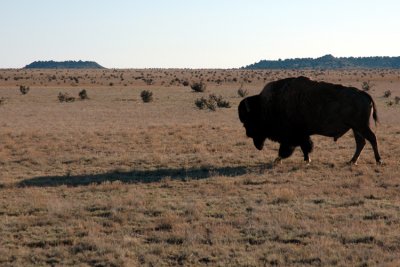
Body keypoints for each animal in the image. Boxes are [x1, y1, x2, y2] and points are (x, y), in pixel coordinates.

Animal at [239, 76, 382, 165]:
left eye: (249, 120)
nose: (248, 134)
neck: (267, 105)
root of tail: (364, 94)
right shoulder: (301, 135)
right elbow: (304, 147)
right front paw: (306, 160)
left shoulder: (294, 136)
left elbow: (291, 148)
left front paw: (278, 160)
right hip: (356, 128)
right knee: (361, 143)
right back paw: (352, 161)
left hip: (361, 126)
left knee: (372, 139)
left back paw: (378, 161)